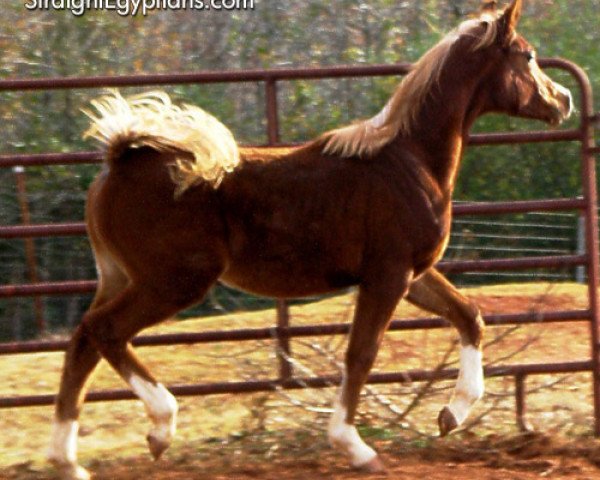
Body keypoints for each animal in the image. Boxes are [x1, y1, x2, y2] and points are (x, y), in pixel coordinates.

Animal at [48, 1, 572, 478]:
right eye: (527, 56)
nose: (564, 98)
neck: (408, 160)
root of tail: (120, 157)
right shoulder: (388, 275)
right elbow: (361, 354)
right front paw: (355, 447)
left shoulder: (413, 273)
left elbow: (469, 316)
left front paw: (450, 416)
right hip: (173, 282)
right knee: (104, 332)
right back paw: (160, 427)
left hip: (119, 277)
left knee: (81, 344)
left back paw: (68, 461)